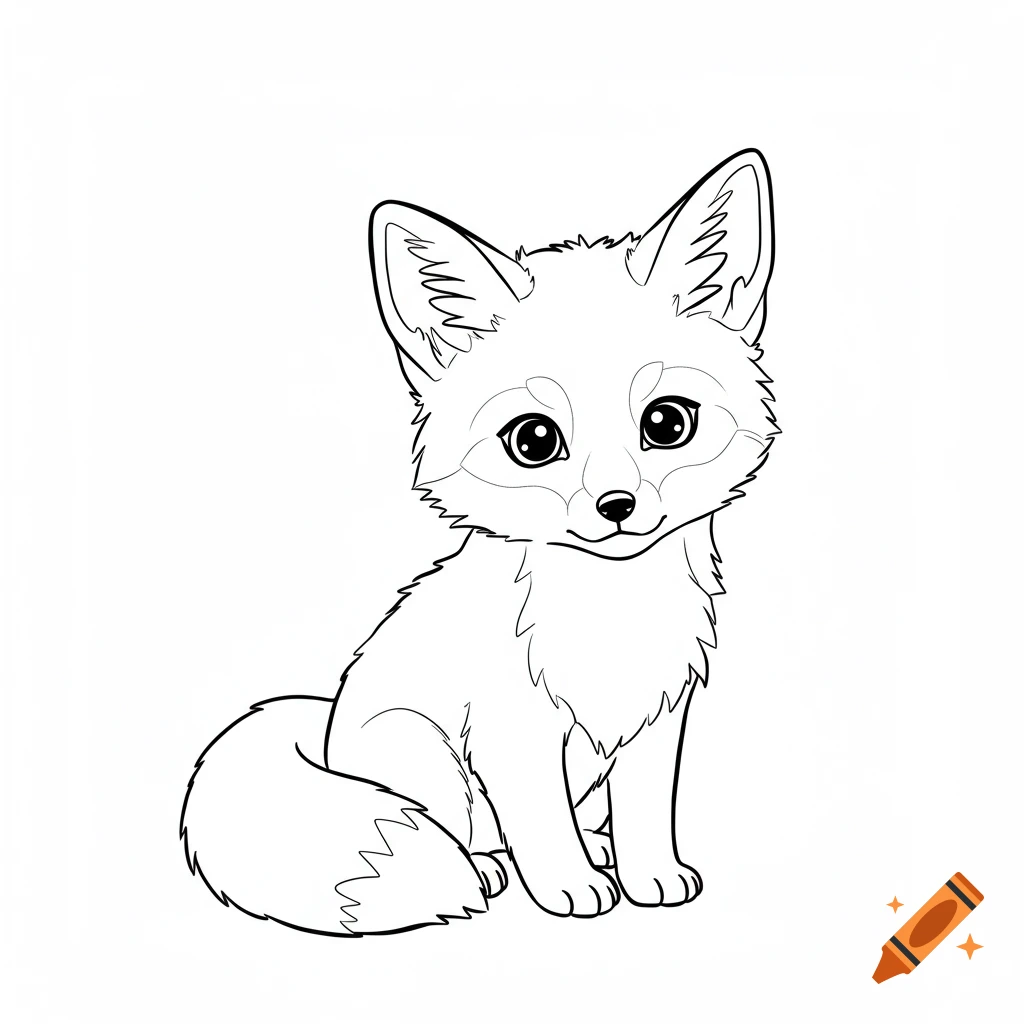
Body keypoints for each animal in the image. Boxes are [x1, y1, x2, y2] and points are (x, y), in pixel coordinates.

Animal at [180, 149, 777, 936]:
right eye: (534, 441)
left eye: (667, 423)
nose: (616, 507)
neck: (609, 617)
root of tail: (325, 727)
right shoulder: (514, 732)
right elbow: (541, 824)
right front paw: (568, 888)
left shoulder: (656, 719)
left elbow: (647, 813)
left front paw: (650, 877)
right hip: (421, 749)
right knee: (469, 831)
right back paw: (493, 870)